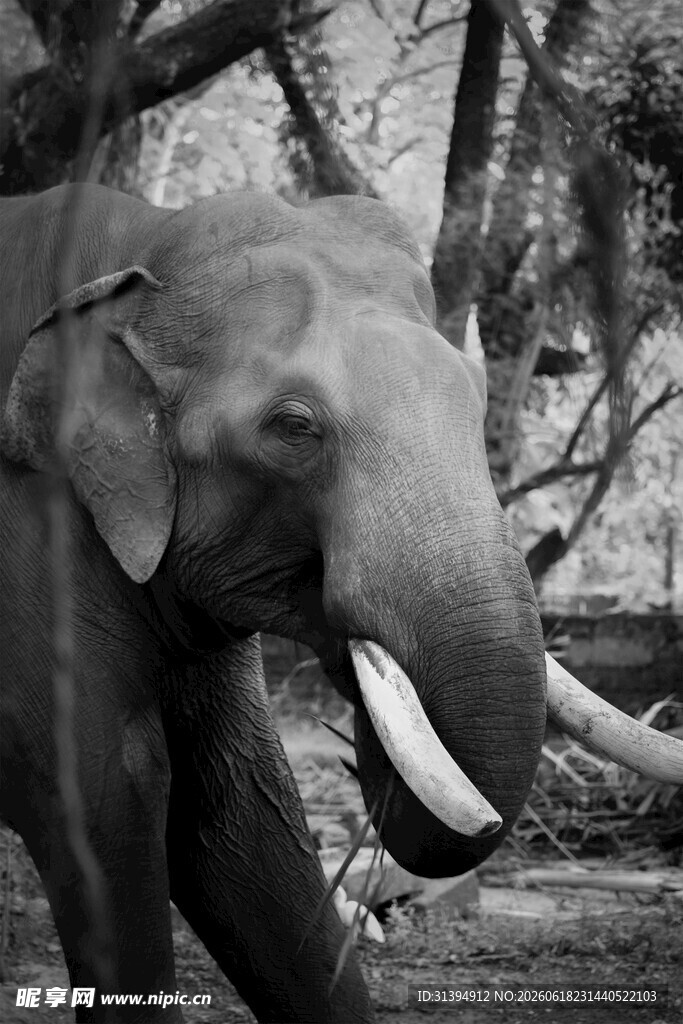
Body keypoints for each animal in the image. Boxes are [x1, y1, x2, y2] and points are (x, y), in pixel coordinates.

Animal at [1, 184, 681, 1023]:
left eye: (479, 398)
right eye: (293, 428)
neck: (140, 242)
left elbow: (239, 808)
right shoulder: (29, 540)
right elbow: (107, 796)